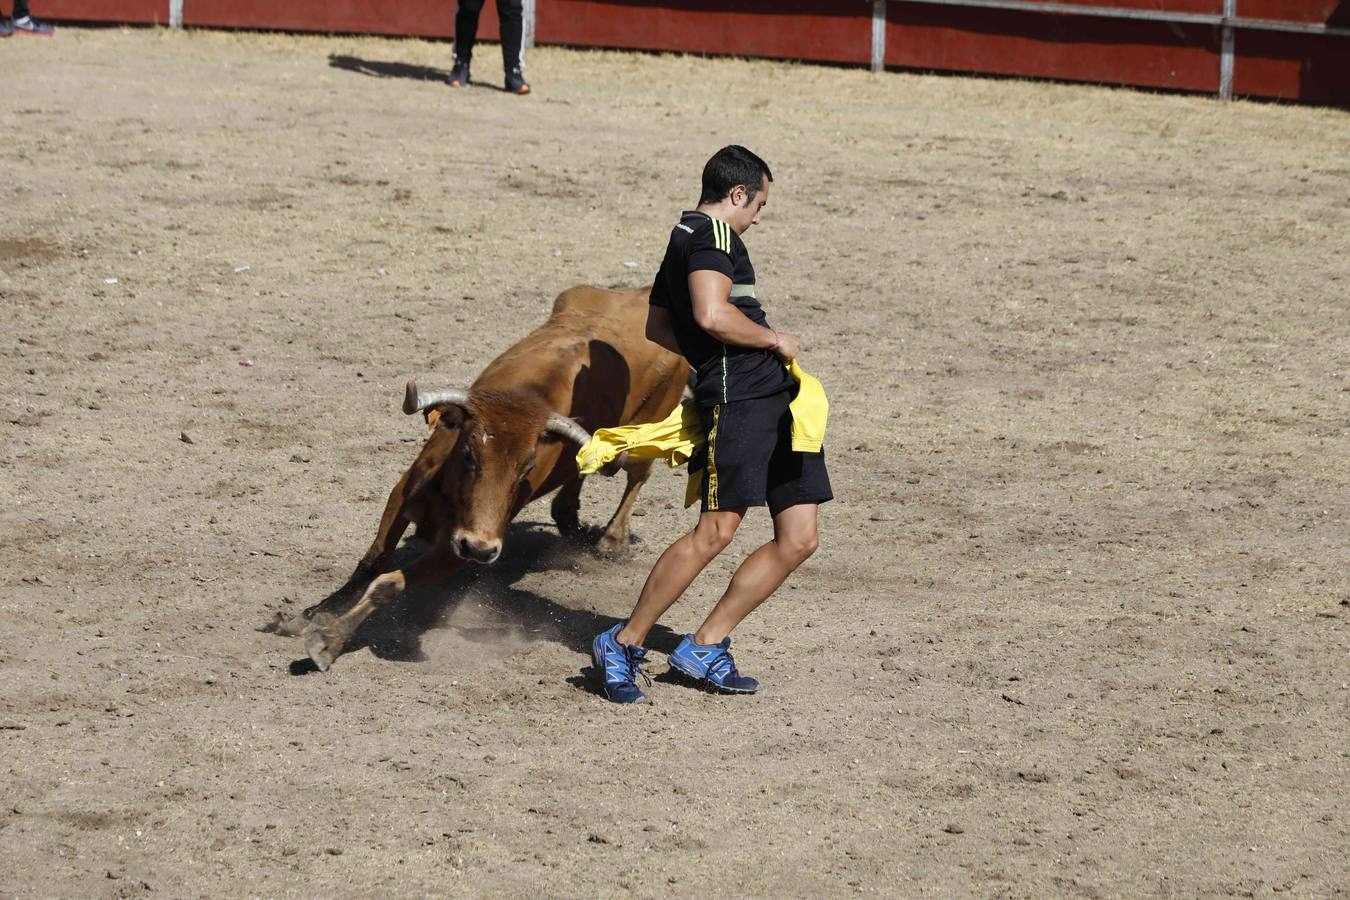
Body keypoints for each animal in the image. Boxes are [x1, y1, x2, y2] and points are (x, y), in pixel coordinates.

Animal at [302, 284, 691, 671]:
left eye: (527, 467)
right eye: (468, 452)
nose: (479, 546)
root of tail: (641, 293)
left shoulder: (460, 549)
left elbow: (390, 583)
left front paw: (329, 640)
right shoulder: (404, 492)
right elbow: (375, 559)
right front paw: (319, 611)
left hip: (652, 425)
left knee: (637, 476)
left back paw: (611, 539)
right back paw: (569, 519)